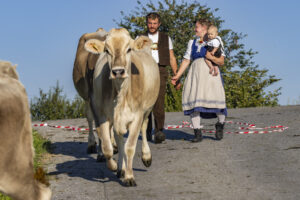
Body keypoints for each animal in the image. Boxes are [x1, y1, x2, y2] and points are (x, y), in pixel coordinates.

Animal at [84, 28, 159, 186]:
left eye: (129, 49)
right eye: (107, 50)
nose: (118, 71)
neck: (121, 94)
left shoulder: (137, 116)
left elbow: (129, 147)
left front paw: (130, 177)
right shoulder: (102, 116)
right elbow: (108, 148)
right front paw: (115, 167)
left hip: (147, 110)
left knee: (144, 128)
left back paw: (146, 156)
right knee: (118, 139)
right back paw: (121, 168)